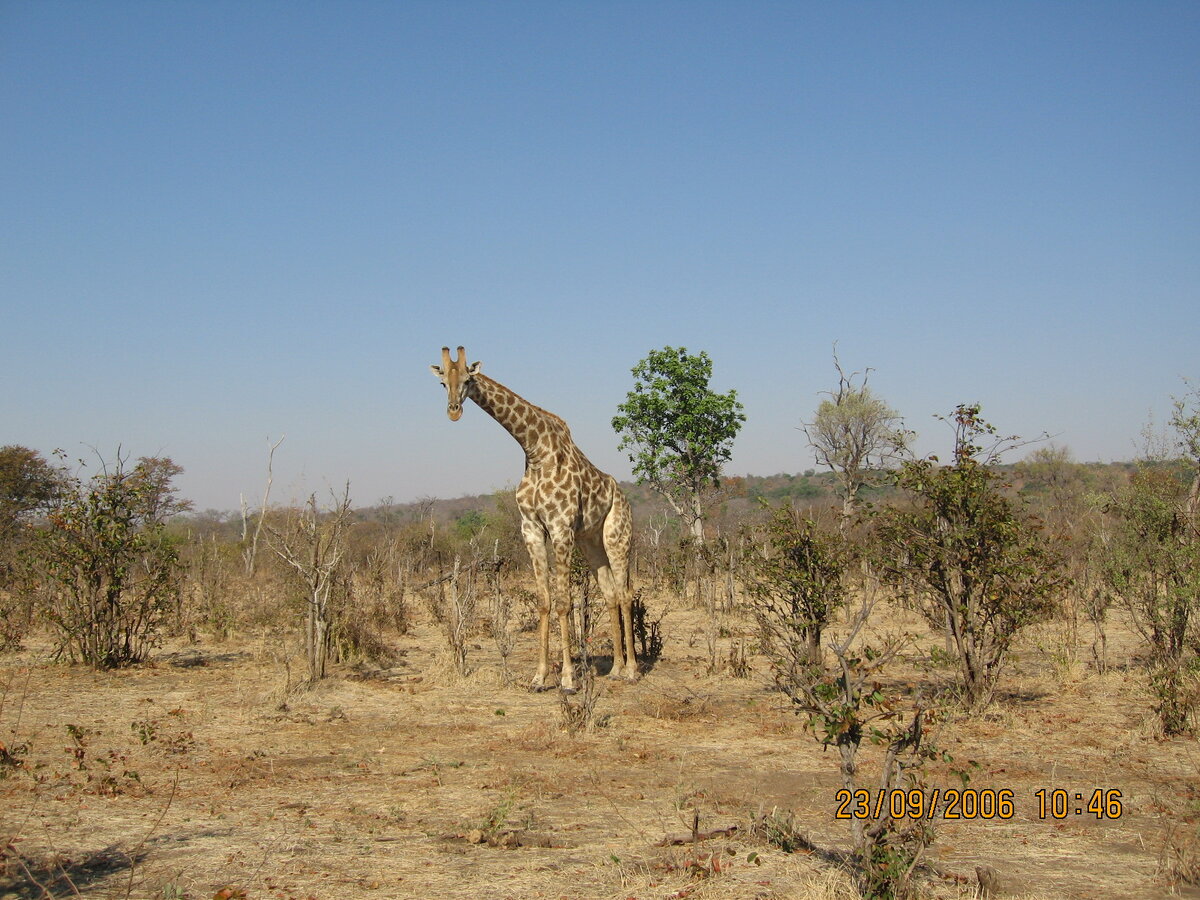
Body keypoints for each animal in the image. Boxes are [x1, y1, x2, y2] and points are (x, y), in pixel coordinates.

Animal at [432, 345, 638, 691]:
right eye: (442, 382)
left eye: (468, 379)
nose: (453, 411)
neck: (535, 449)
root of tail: (625, 499)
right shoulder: (531, 528)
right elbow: (544, 601)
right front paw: (539, 677)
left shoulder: (560, 527)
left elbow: (564, 602)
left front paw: (567, 679)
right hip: (591, 542)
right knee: (610, 593)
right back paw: (617, 668)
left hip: (617, 537)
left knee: (625, 593)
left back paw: (634, 670)